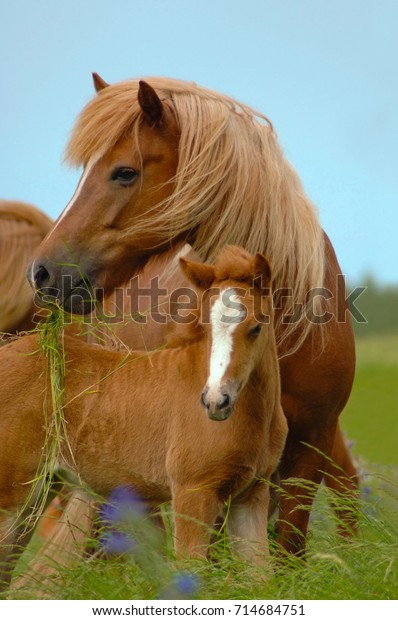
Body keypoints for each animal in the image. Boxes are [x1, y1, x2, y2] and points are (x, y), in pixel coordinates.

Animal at [0, 245, 288, 588]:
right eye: (205, 329)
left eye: (256, 327)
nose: (216, 401)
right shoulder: (193, 493)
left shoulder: (251, 496)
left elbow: (262, 578)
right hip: (11, 497)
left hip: (37, 492)